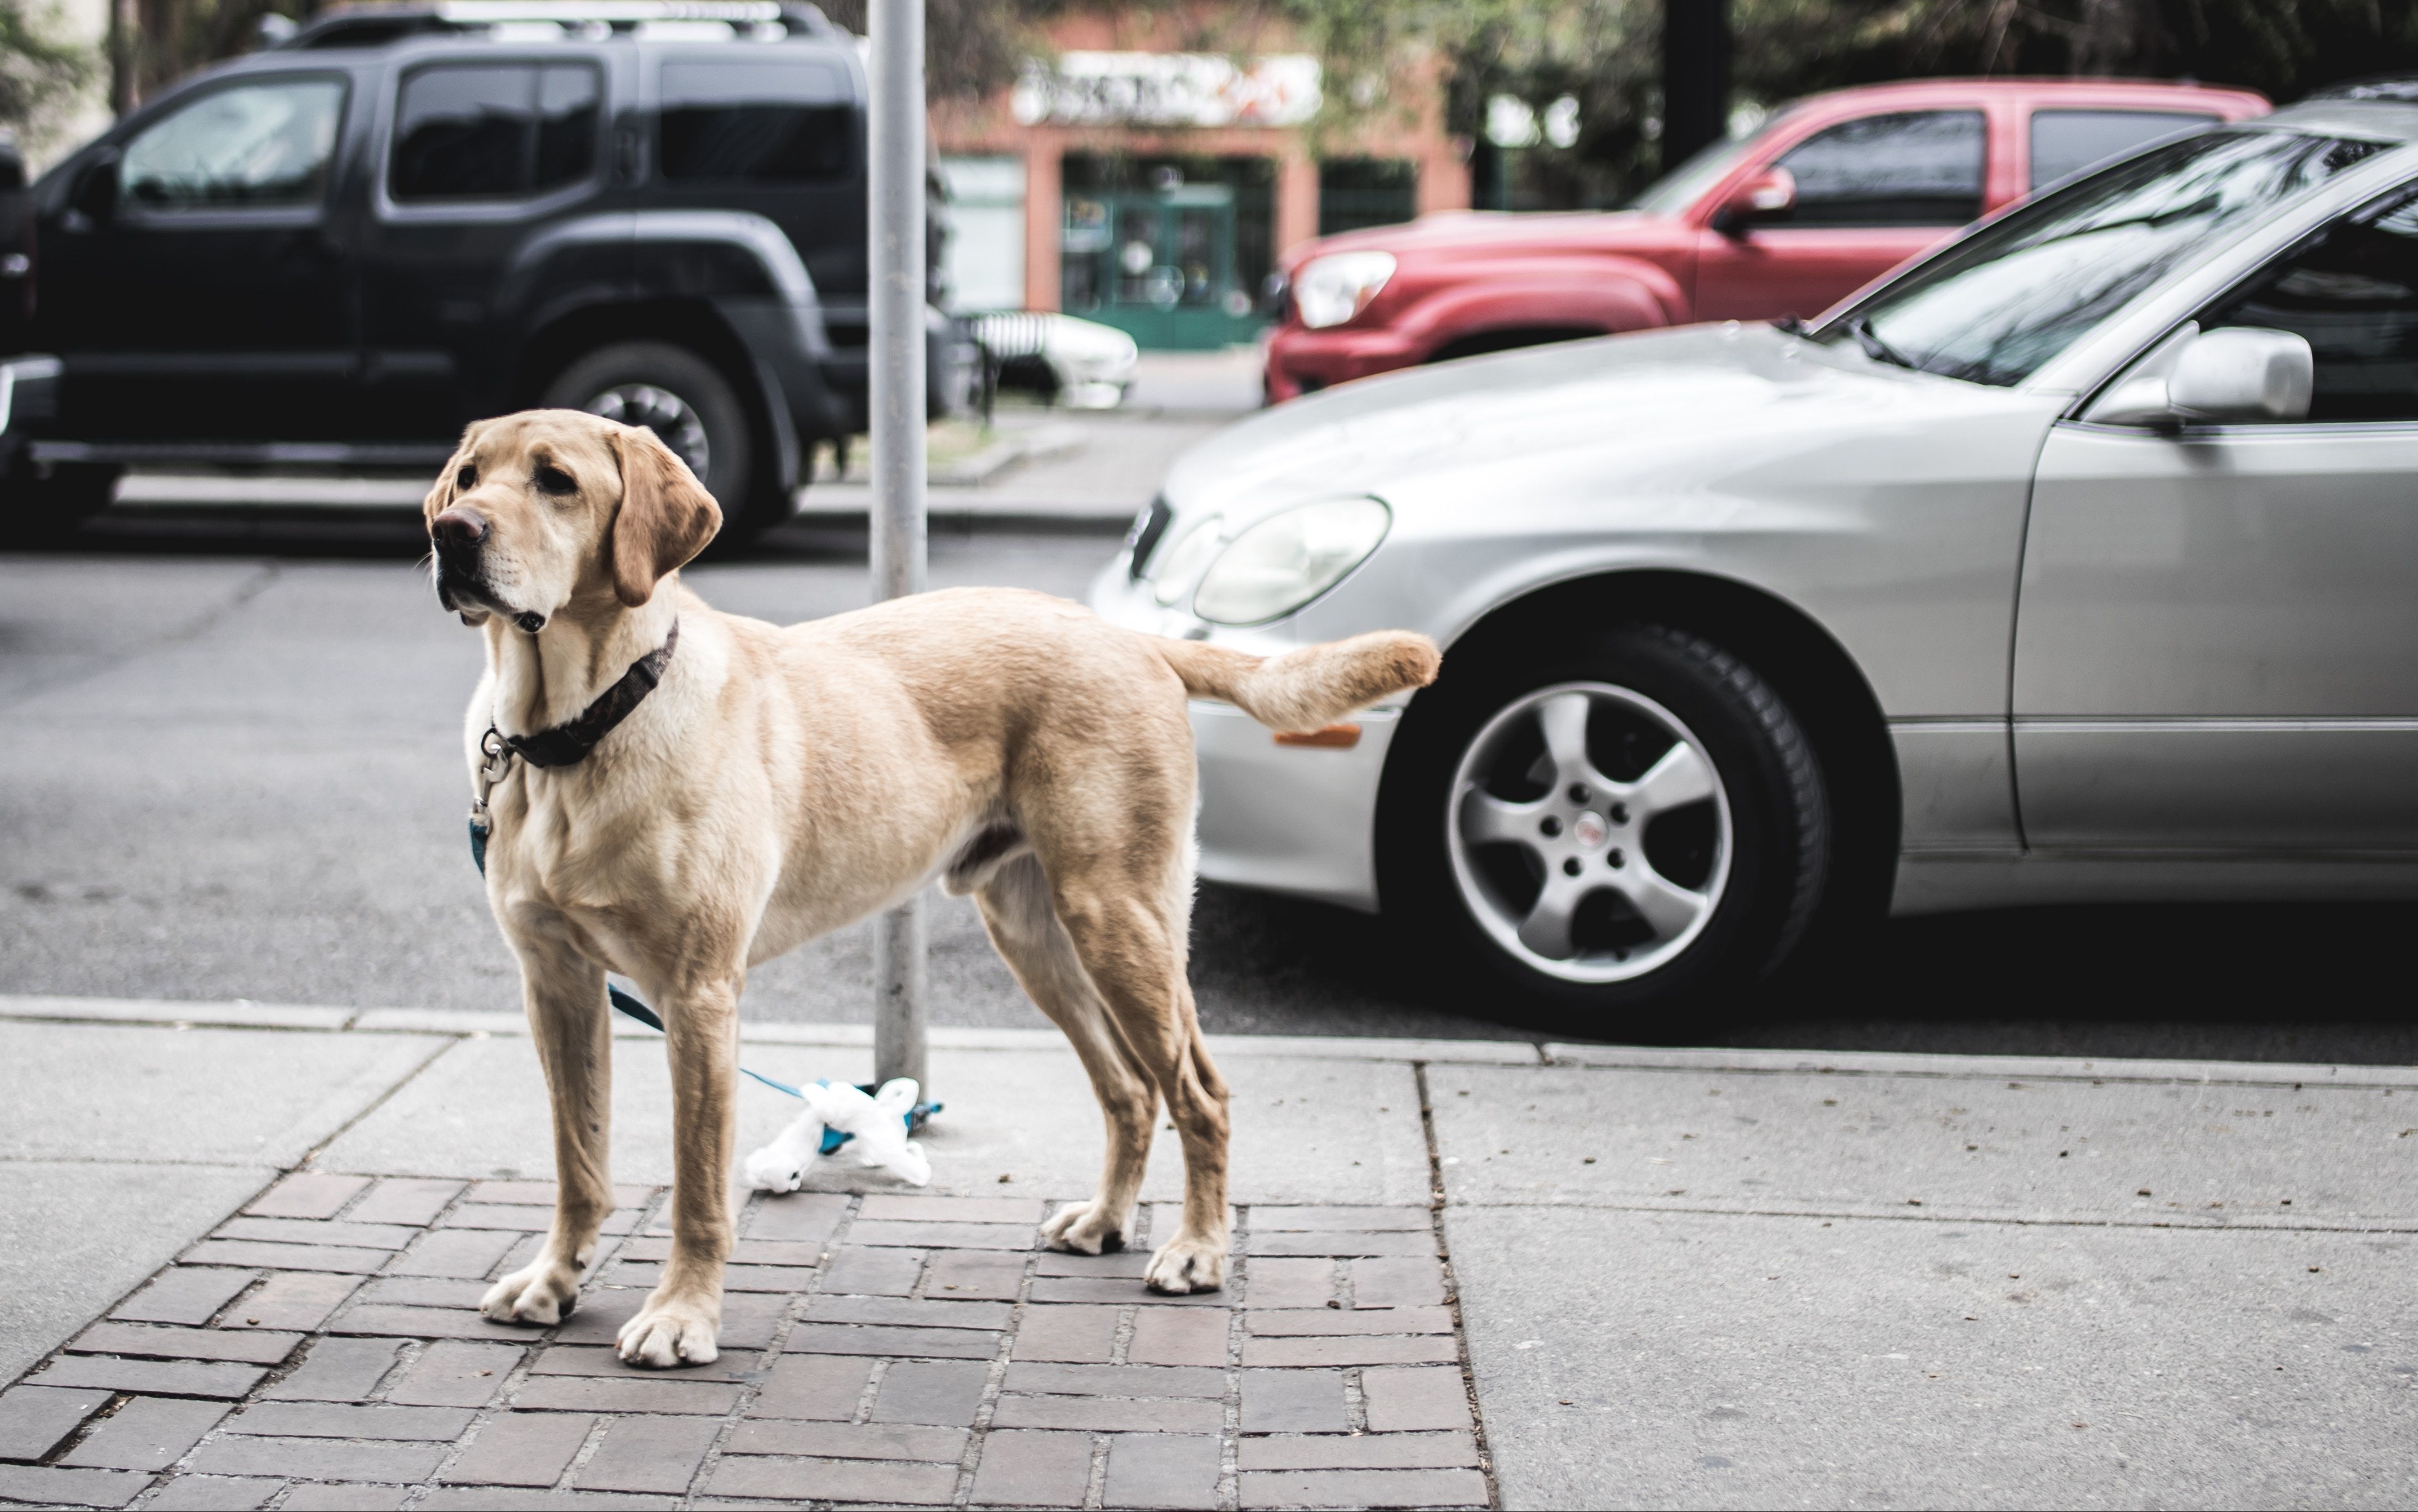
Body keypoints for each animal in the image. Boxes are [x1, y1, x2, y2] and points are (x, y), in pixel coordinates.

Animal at [420, 409, 1431, 1364]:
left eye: (556, 481)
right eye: (467, 476)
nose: (451, 533)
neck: (574, 733)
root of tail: (1129, 635)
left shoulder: (698, 995)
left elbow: (697, 1187)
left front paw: (681, 1316)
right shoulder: (558, 985)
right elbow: (578, 1160)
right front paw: (554, 1279)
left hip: (1120, 919)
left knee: (1199, 1092)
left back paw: (1197, 1249)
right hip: (1037, 935)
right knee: (1128, 1091)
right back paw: (1106, 1220)